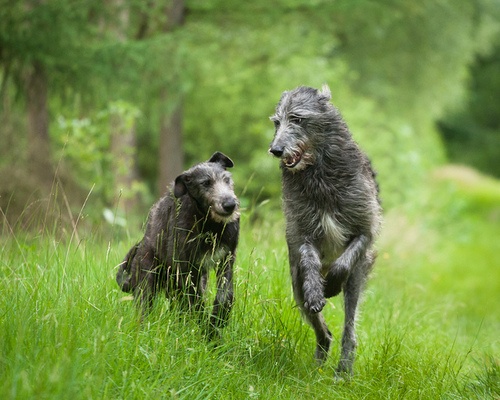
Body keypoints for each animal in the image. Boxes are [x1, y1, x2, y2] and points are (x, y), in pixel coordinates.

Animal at [118, 152, 241, 340]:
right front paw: (206, 333)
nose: (230, 204)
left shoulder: (225, 260)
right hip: (148, 278)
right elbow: (195, 303)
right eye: (205, 183)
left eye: (227, 179)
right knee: (146, 307)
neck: (209, 226)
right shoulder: (186, 270)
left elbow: (225, 295)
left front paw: (216, 325)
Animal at [270, 84, 382, 376]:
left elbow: (353, 249)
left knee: (349, 328)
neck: (318, 172)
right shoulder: (302, 232)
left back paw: (344, 369)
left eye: (297, 119)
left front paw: (331, 283)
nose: (275, 150)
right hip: (295, 281)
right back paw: (320, 357)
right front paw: (316, 290)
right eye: (276, 122)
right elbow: (308, 255)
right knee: (323, 329)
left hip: (357, 278)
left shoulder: (365, 229)